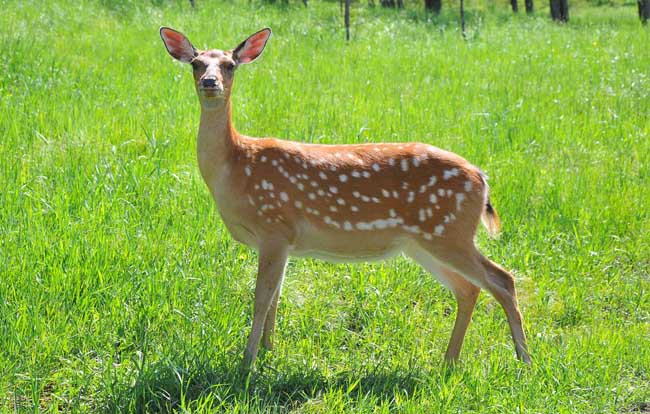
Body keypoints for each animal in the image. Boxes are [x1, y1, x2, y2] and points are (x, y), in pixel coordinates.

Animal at [159, 26, 528, 368]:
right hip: (423, 242)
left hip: (449, 231)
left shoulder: (274, 226)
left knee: (502, 279)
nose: (210, 82)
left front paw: (247, 361)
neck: (234, 166)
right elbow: (276, 296)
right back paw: (449, 361)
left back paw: (523, 360)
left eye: (230, 64)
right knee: (469, 288)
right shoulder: (284, 241)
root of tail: (481, 177)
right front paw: (268, 351)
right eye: (195, 63)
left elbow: (261, 297)